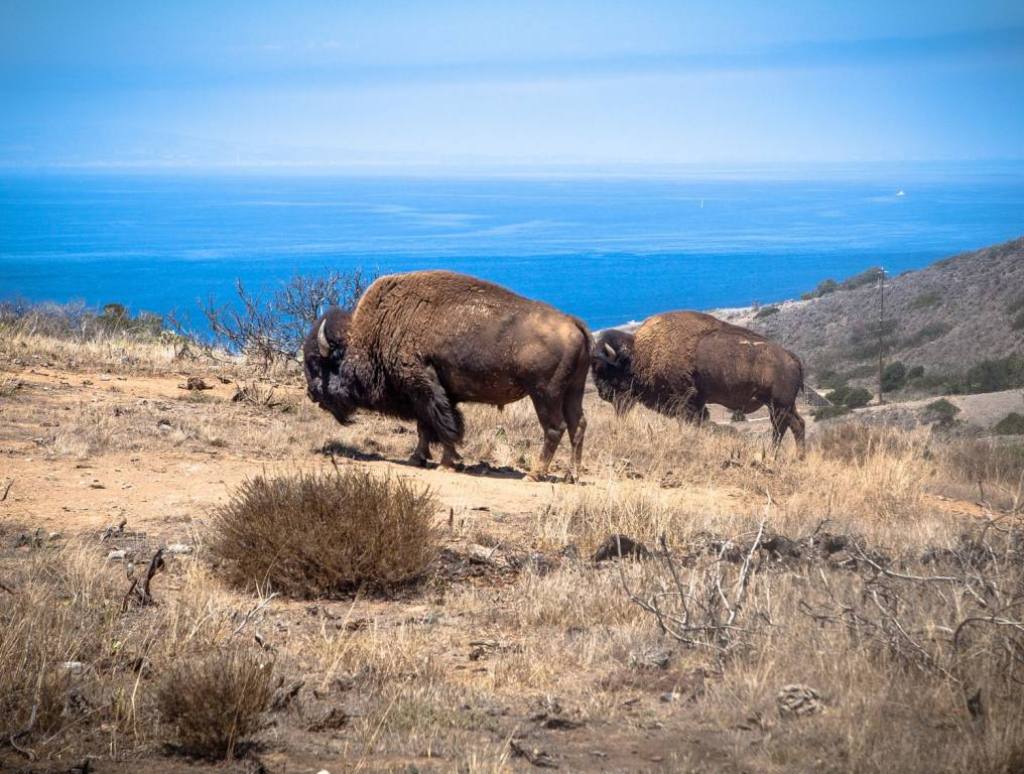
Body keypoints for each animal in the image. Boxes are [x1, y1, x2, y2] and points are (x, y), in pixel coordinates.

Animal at [301, 270, 593, 477]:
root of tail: (573, 322)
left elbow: (444, 426)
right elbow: (426, 427)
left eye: (317, 363)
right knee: (577, 425)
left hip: (544, 394)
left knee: (554, 428)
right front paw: (417, 458)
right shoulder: (427, 395)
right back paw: (572, 475)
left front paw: (447, 463)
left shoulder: (425, 388)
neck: (376, 333)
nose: (312, 394)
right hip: (573, 391)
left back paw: (534, 474)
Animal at [593, 311, 806, 450]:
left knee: (780, 430)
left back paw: (772, 454)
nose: (602, 393)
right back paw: (798, 458)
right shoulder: (697, 402)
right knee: (798, 425)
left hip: (778, 407)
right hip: (785, 406)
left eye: (606, 369)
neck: (639, 354)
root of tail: (791, 357)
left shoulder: (685, 400)